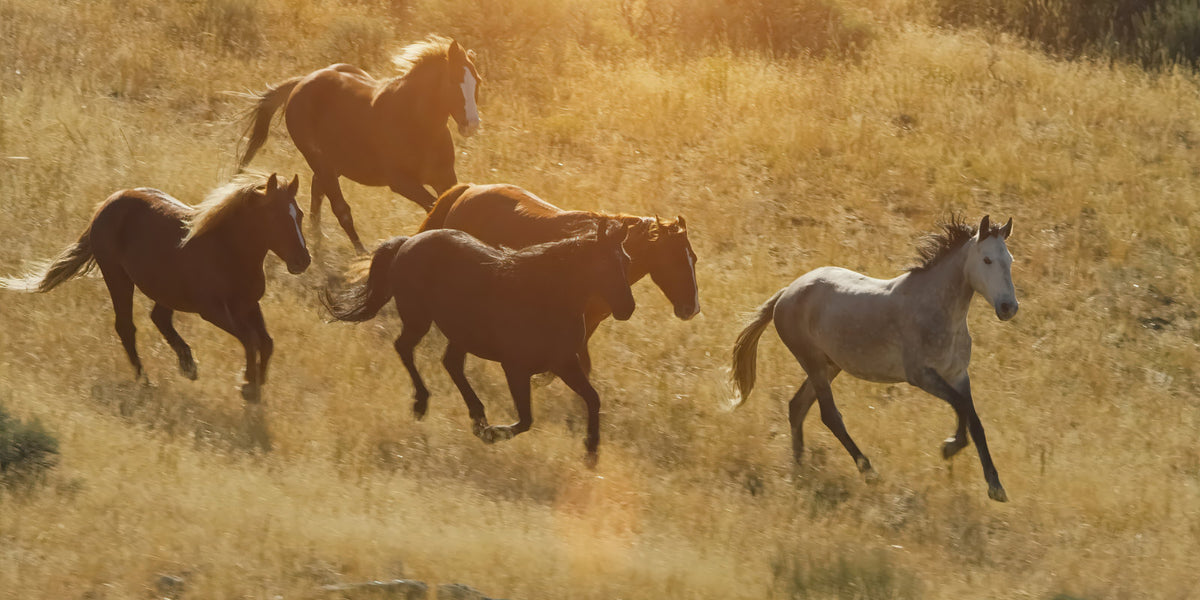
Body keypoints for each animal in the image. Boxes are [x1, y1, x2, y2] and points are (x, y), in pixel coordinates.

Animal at [1, 172, 311, 402]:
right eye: (274, 216)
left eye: (300, 214)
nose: (303, 260)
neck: (229, 250)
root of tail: (107, 205)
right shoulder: (213, 310)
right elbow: (251, 339)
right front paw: (248, 386)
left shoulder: (247, 305)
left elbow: (266, 342)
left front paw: (254, 384)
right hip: (117, 276)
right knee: (126, 326)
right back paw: (145, 380)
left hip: (163, 288)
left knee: (158, 317)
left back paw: (188, 366)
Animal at [236, 36, 482, 253]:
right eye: (453, 80)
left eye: (477, 82)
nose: (471, 124)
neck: (416, 124)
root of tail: (302, 82)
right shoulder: (400, 182)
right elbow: (433, 206)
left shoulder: (444, 176)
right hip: (319, 159)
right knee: (339, 207)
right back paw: (358, 251)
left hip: (334, 163)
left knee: (318, 190)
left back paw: (316, 239)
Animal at [322, 219, 635, 466]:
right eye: (605, 264)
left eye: (627, 261)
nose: (627, 308)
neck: (543, 298)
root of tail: (408, 242)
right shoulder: (515, 367)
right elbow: (526, 420)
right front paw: (491, 435)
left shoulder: (564, 363)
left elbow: (592, 399)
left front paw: (591, 453)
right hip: (419, 319)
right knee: (405, 348)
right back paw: (423, 404)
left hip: (458, 333)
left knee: (450, 363)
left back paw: (476, 415)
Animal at [729, 215, 1017, 502]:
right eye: (987, 260)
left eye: (1010, 259)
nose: (1009, 308)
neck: (938, 309)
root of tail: (786, 293)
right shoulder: (921, 375)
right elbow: (961, 407)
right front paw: (950, 446)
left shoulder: (957, 375)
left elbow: (974, 420)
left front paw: (995, 486)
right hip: (813, 364)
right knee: (829, 415)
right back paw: (868, 471)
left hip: (829, 365)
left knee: (797, 406)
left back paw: (799, 467)